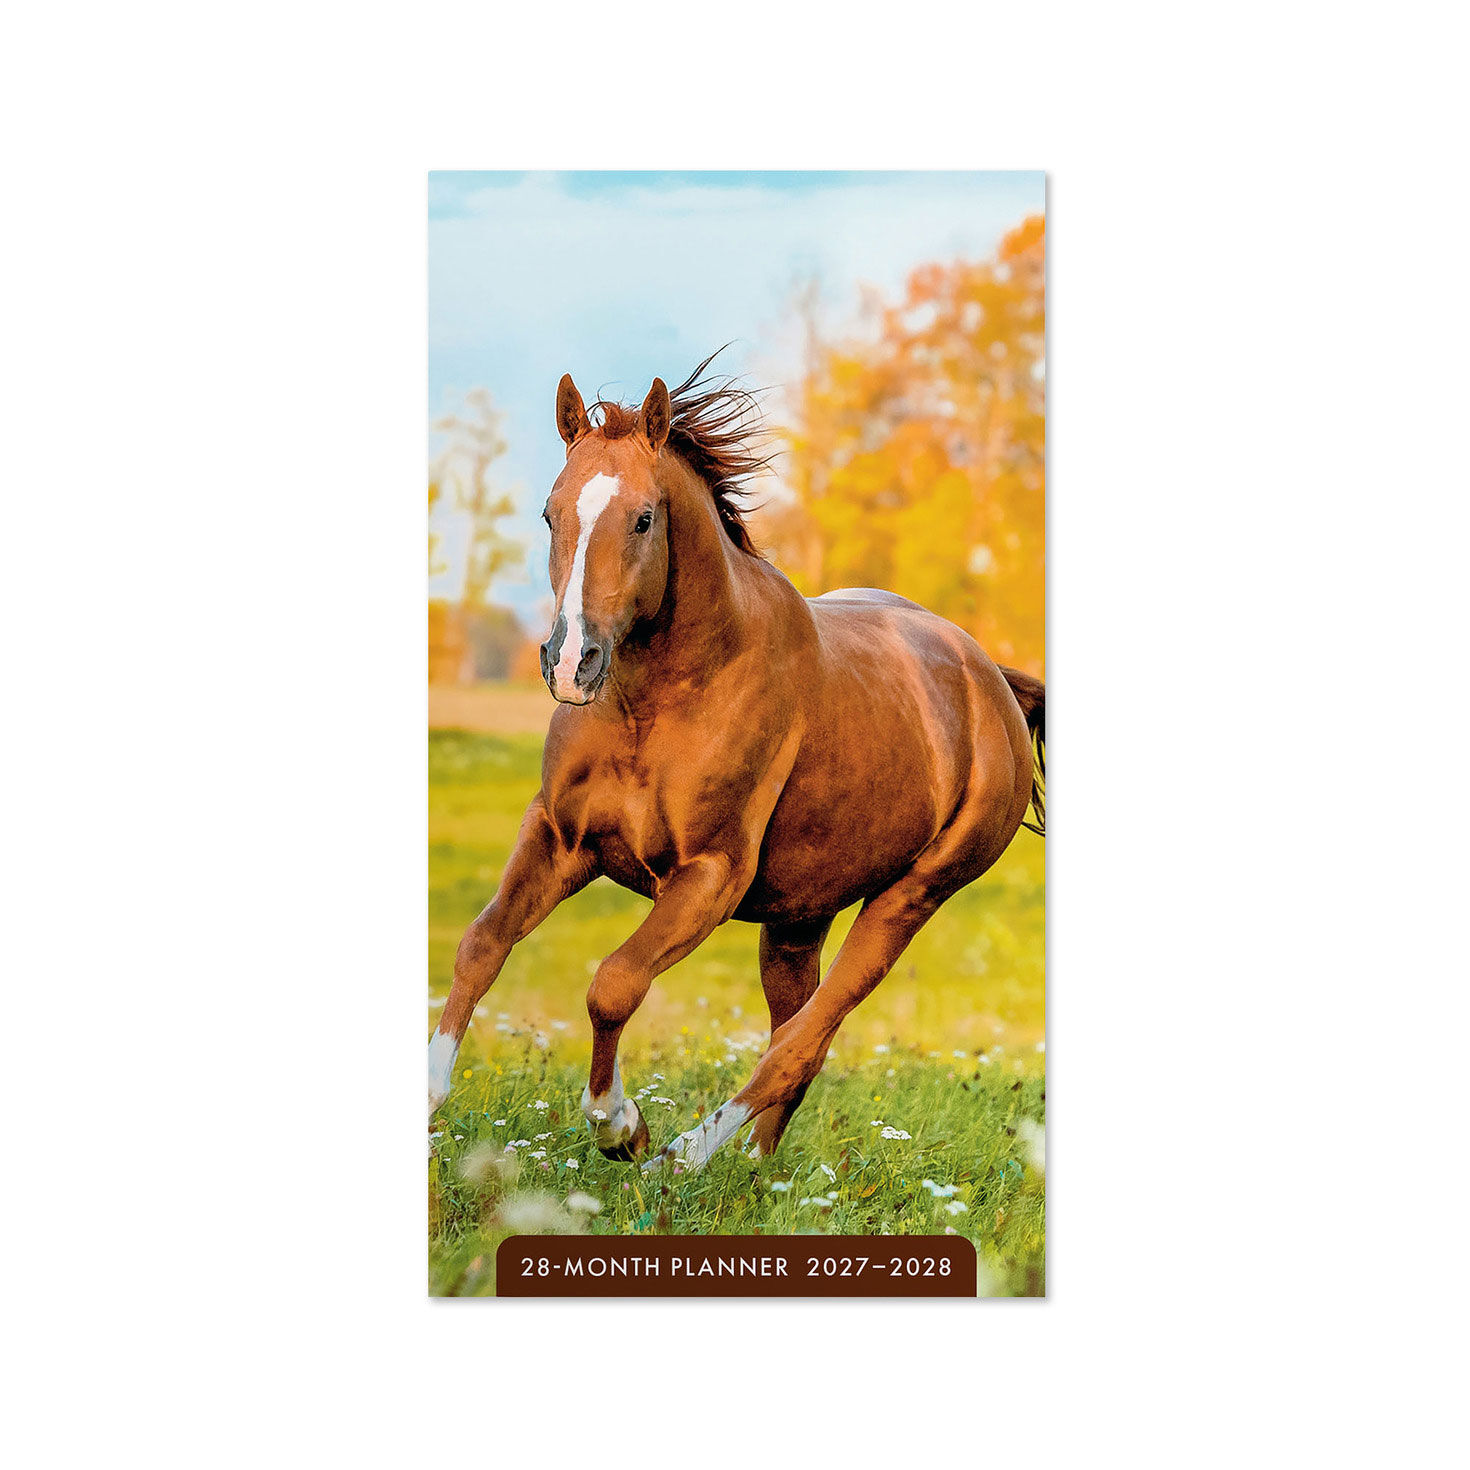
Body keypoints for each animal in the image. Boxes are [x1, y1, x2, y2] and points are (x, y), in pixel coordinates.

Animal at [428, 354, 1045, 1173]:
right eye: (551, 514)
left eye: (644, 518)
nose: (570, 662)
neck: (658, 705)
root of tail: (995, 686)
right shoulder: (560, 839)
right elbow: (481, 945)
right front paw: (426, 1100)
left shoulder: (708, 877)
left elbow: (614, 984)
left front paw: (622, 1127)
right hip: (799, 918)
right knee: (796, 1039)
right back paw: (755, 1172)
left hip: (907, 900)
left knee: (798, 1045)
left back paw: (683, 1158)